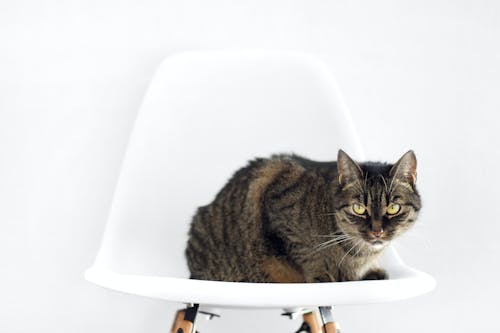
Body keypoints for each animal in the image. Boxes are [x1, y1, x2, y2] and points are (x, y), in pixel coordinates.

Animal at [186, 149, 420, 282]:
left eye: (393, 208)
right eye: (359, 208)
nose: (377, 231)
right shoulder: (279, 208)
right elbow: (309, 254)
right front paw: (324, 276)